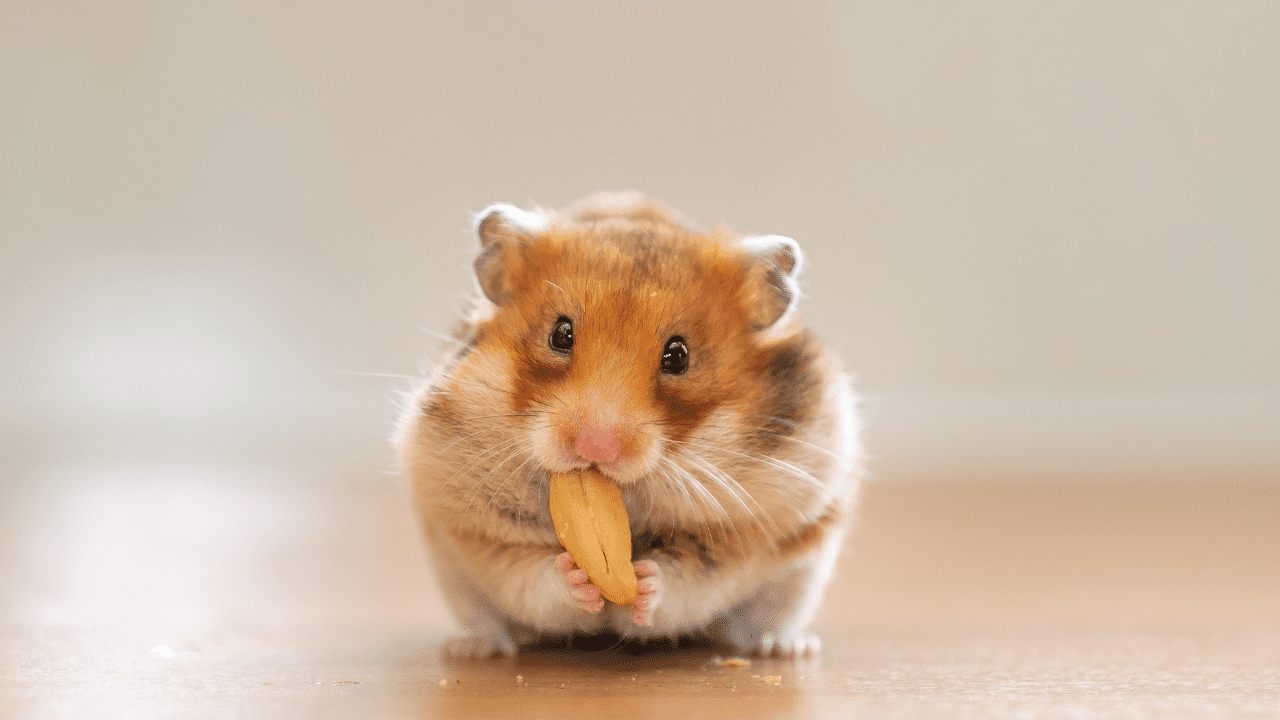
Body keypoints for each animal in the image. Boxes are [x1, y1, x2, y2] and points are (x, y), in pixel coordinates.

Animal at [394, 192, 861, 659]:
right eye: (560, 334)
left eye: (679, 356)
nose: (595, 448)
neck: (627, 499)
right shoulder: (476, 527)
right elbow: (531, 575)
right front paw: (576, 578)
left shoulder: (746, 531)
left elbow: (689, 580)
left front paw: (644, 584)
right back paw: (471, 649)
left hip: (800, 574)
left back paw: (786, 648)